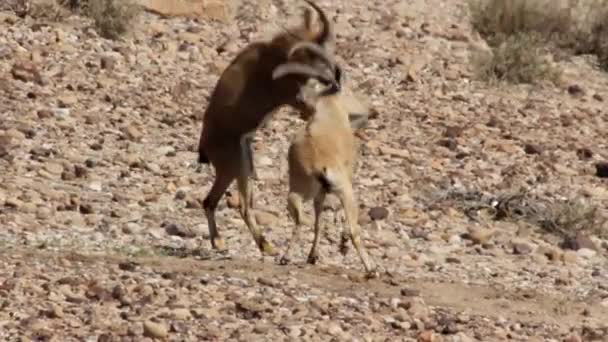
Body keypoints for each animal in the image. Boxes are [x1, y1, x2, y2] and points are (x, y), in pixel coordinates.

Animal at [200, 0, 342, 256]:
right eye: (317, 57)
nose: (334, 76)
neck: (275, 57)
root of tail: (205, 145)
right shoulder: (294, 98)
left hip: (244, 166)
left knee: (239, 205)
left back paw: (264, 246)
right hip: (231, 167)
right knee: (215, 202)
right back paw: (227, 243)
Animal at [272, 65, 378, 278]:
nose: (371, 111)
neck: (329, 111)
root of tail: (318, 165)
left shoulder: (320, 194)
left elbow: (319, 221)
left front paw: (313, 256)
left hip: (297, 192)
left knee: (303, 219)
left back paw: (286, 256)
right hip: (345, 191)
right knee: (353, 229)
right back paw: (371, 268)